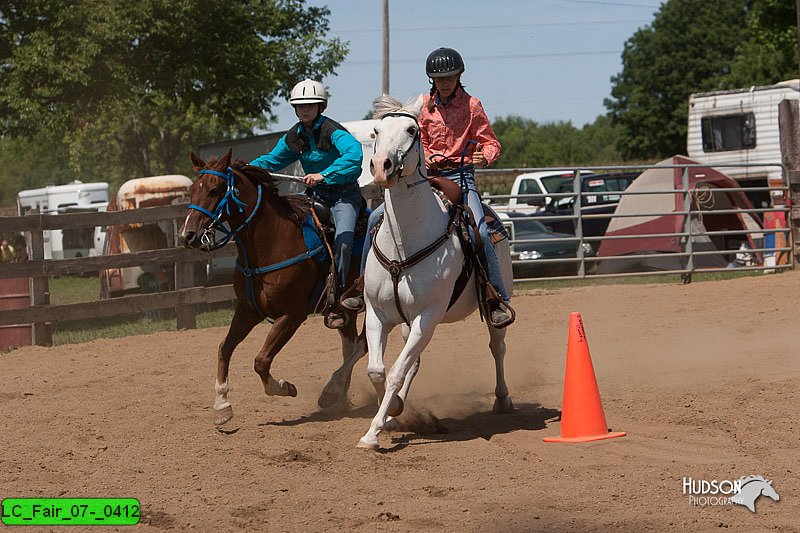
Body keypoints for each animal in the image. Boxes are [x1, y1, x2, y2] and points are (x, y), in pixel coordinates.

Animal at [180, 150, 366, 424]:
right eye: (192, 190)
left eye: (214, 190)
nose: (188, 235)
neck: (273, 243)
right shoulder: (247, 311)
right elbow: (224, 348)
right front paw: (222, 405)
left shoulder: (291, 315)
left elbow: (261, 360)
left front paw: (285, 387)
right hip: (347, 315)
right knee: (351, 347)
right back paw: (339, 398)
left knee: (361, 346)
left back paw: (331, 393)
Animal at [356, 95, 512, 448]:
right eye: (376, 131)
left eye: (412, 130)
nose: (382, 165)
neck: (403, 243)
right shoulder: (377, 314)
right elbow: (377, 370)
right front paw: (390, 414)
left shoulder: (427, 316)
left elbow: (395, 371)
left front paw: (373, 431)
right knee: (413, 361)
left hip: (494, 302)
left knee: (497, 347)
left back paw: (503, 399)